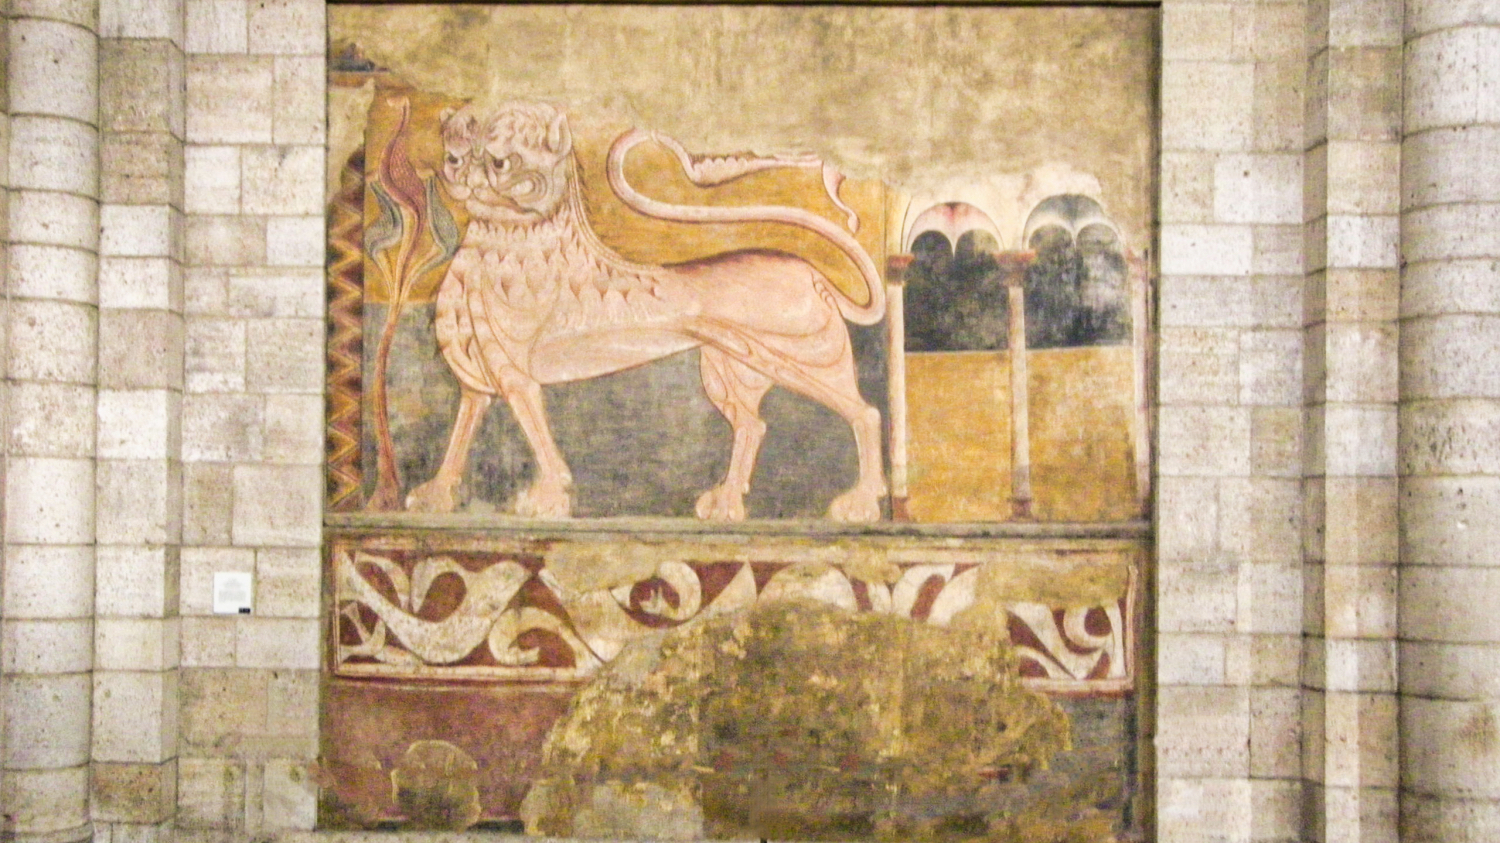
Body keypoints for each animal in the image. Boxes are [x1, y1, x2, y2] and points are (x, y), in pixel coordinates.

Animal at [403, 101, 888, 522]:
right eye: (454, 157)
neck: (505, 234)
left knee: (864, 413)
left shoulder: (518, 377)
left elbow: (537, 435)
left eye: (501, 162)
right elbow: (460, 435)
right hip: (727, 370)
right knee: (752, 426)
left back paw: (862, 501)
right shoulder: (476, 382)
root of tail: (812, 273)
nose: (465, 177)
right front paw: (435, 494)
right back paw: (726, 502)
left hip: (803, 357)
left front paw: (546, 497)